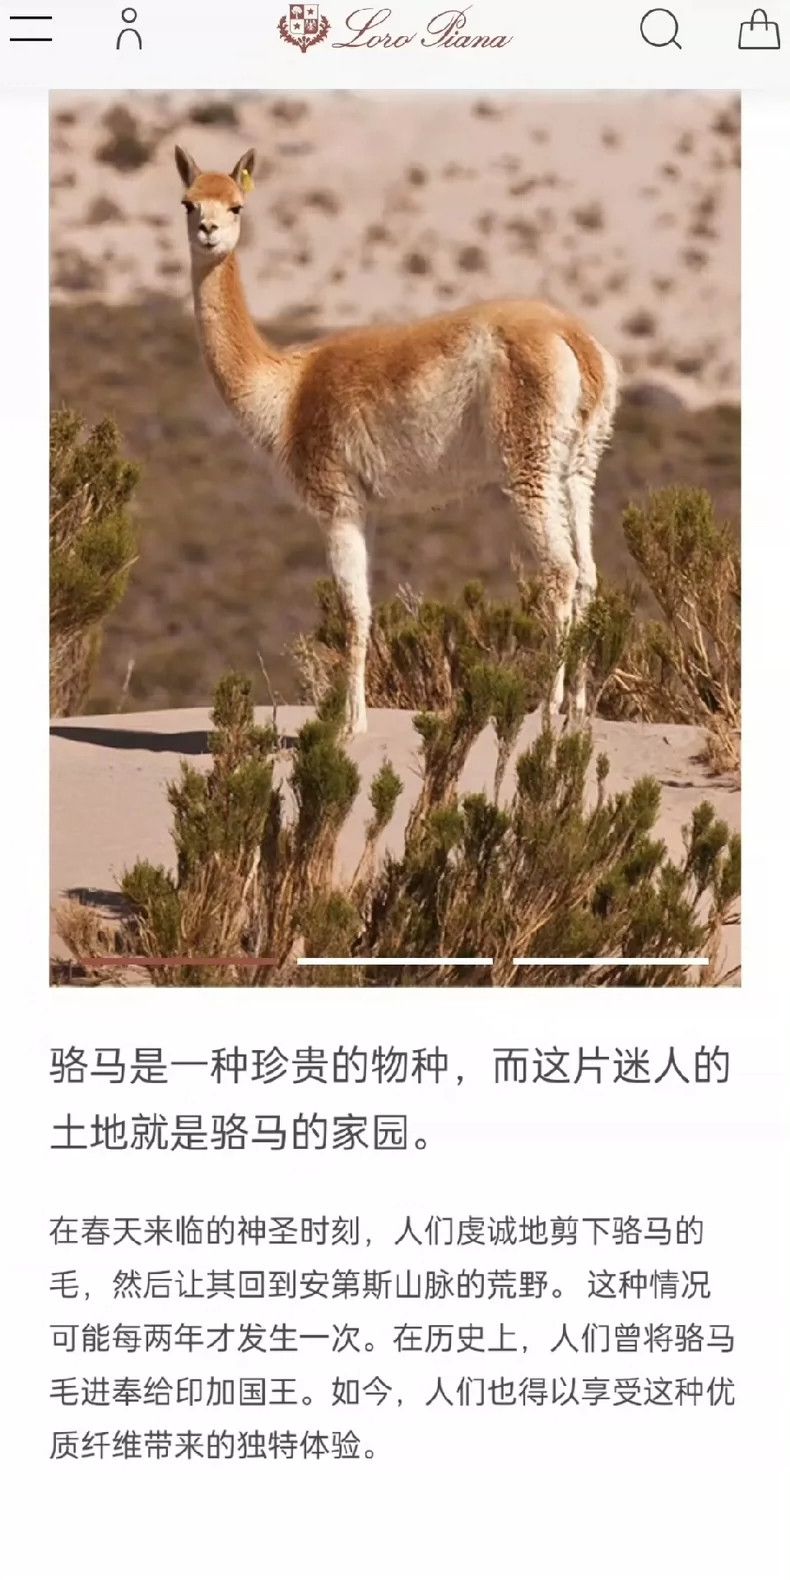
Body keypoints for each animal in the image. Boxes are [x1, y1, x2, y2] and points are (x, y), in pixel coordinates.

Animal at [175, 144, 619, 735]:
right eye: (188, 202)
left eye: (237, 206)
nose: (208, 231)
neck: (285, 392)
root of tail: (576, 341)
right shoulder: (367, 507)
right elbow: (367, 607)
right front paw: (355, 716)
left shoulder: (336, 501)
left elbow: (352, 611)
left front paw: (350, 726)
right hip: (579, 464)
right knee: (588, 573)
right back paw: (577, 712)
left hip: (530, 459)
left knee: (559, 572)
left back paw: (545, 712)